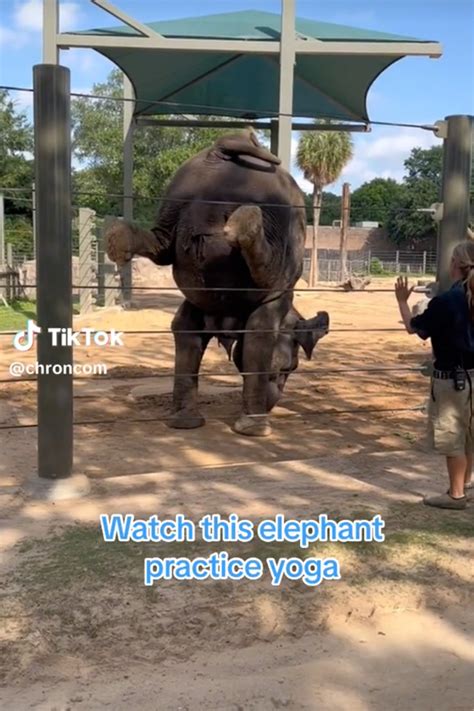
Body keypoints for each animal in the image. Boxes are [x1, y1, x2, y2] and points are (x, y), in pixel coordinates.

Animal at [106, 129, 330, 436]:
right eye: (289, 368)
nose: (273, 403)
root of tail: (227, 144)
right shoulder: (280, 294)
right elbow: (258, 334)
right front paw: (253, 430)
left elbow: (185, 329)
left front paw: (185, 424)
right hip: (276, 223)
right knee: (268, 266)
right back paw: (245, 223)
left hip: (179, 191)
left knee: (163, 243)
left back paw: (117, 237)